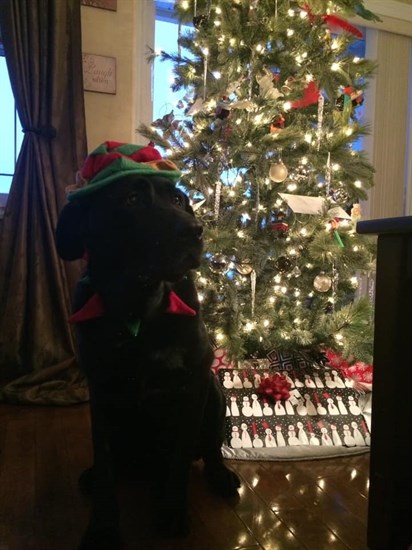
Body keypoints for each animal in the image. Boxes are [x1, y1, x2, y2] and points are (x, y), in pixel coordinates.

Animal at [56, 171, 240, 548]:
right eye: (131, 200)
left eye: (179, 200)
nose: (195, 230)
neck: (138, 309)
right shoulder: (101, 391)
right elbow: (105, 465)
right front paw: (102, 529)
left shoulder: (194, 385)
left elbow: (181, 460)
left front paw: (171, 513)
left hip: (215, 394)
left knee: (210, 447)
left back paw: (220, 475)